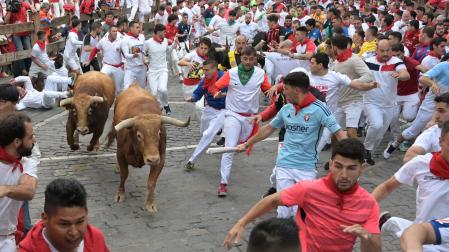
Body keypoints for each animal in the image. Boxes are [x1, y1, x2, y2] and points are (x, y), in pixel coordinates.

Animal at [106, 84, 189, 213]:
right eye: (139, 135)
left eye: (159, 133)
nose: (152, 159)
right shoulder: (121, 154)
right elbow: (124, 175)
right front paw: (120, 194)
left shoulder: (161, 158)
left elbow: (151, 182)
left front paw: (151, 204)